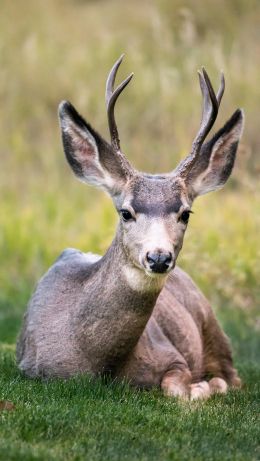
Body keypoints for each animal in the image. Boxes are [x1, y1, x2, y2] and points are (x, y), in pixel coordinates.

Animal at [16, 54, 244, 398]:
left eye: (186, 213)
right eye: (125, 212)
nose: (159, 257)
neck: (98, 364)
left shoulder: (173, 355)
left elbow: (178, 389)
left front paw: (202, 387)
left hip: (212, 324)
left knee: (235, 376)